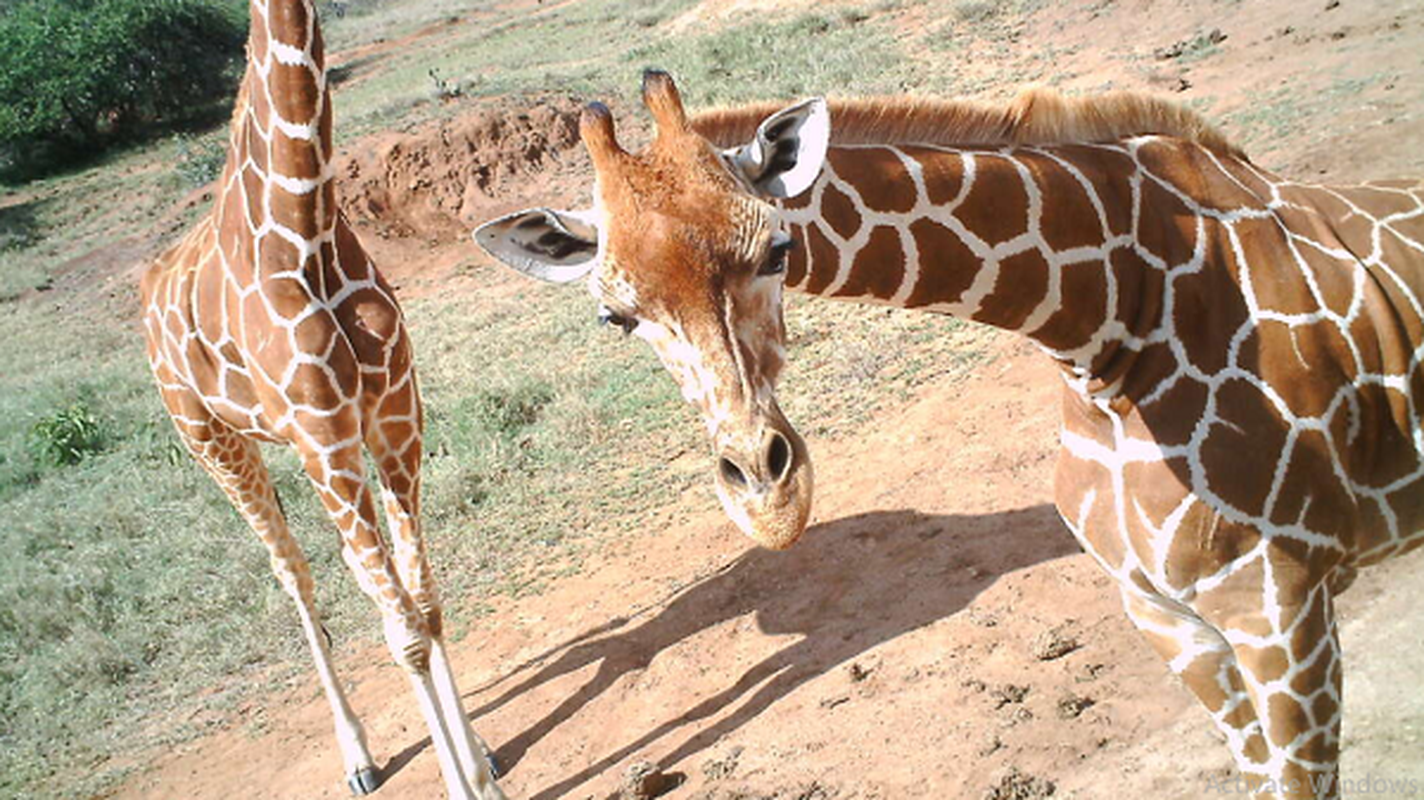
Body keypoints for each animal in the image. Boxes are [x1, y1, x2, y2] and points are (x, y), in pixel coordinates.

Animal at [138, 0, 506, 791]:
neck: (305, 223)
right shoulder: (325, 437)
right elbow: (403, 630)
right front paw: (461, 784)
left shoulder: (395, 417)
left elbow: (424, 606)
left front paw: (482, 766)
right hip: (213, 440)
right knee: (295, 574)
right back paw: (358, 756)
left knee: (354, 571)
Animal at [475, 70, 1424, 797]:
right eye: (613, 316)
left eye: (778, 250)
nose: (770, 503)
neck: (1110, 329)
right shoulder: (1169, 615)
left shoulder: (1281, 613)